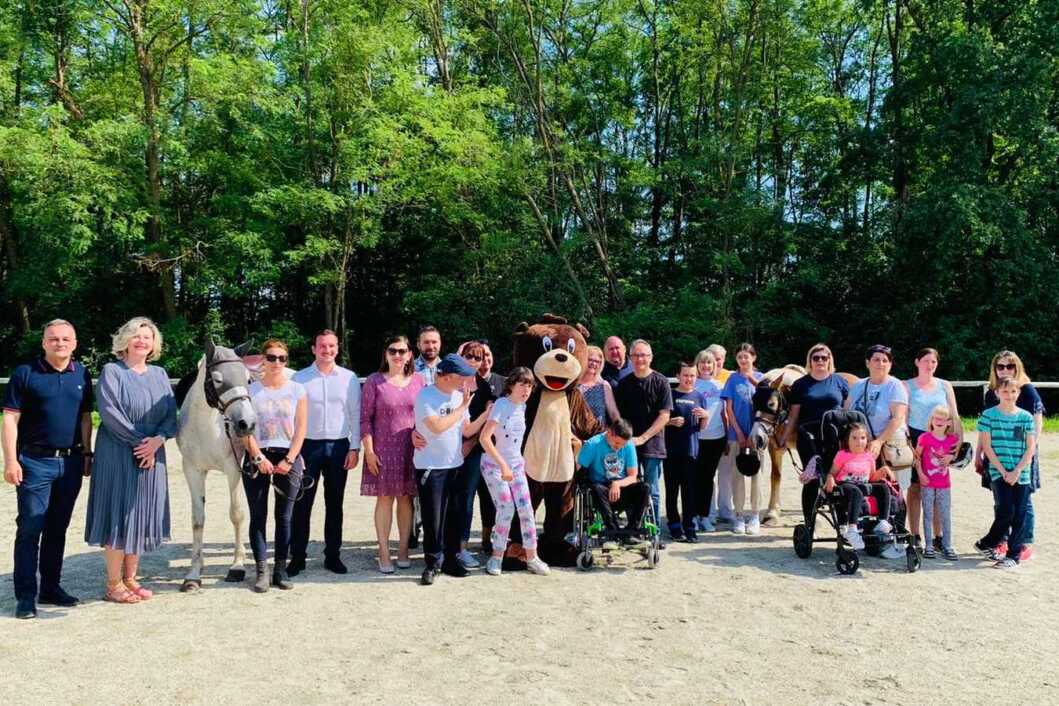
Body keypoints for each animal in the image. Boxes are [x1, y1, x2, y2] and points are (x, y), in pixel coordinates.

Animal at [174, 340, 257, 592]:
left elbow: (237, 514)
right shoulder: (192, 471)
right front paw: (193, 574)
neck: (208, 427)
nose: (247, 423)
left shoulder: (233, 469)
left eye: (248, 379)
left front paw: (237, 566)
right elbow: (197, 520)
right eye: (218, 380)